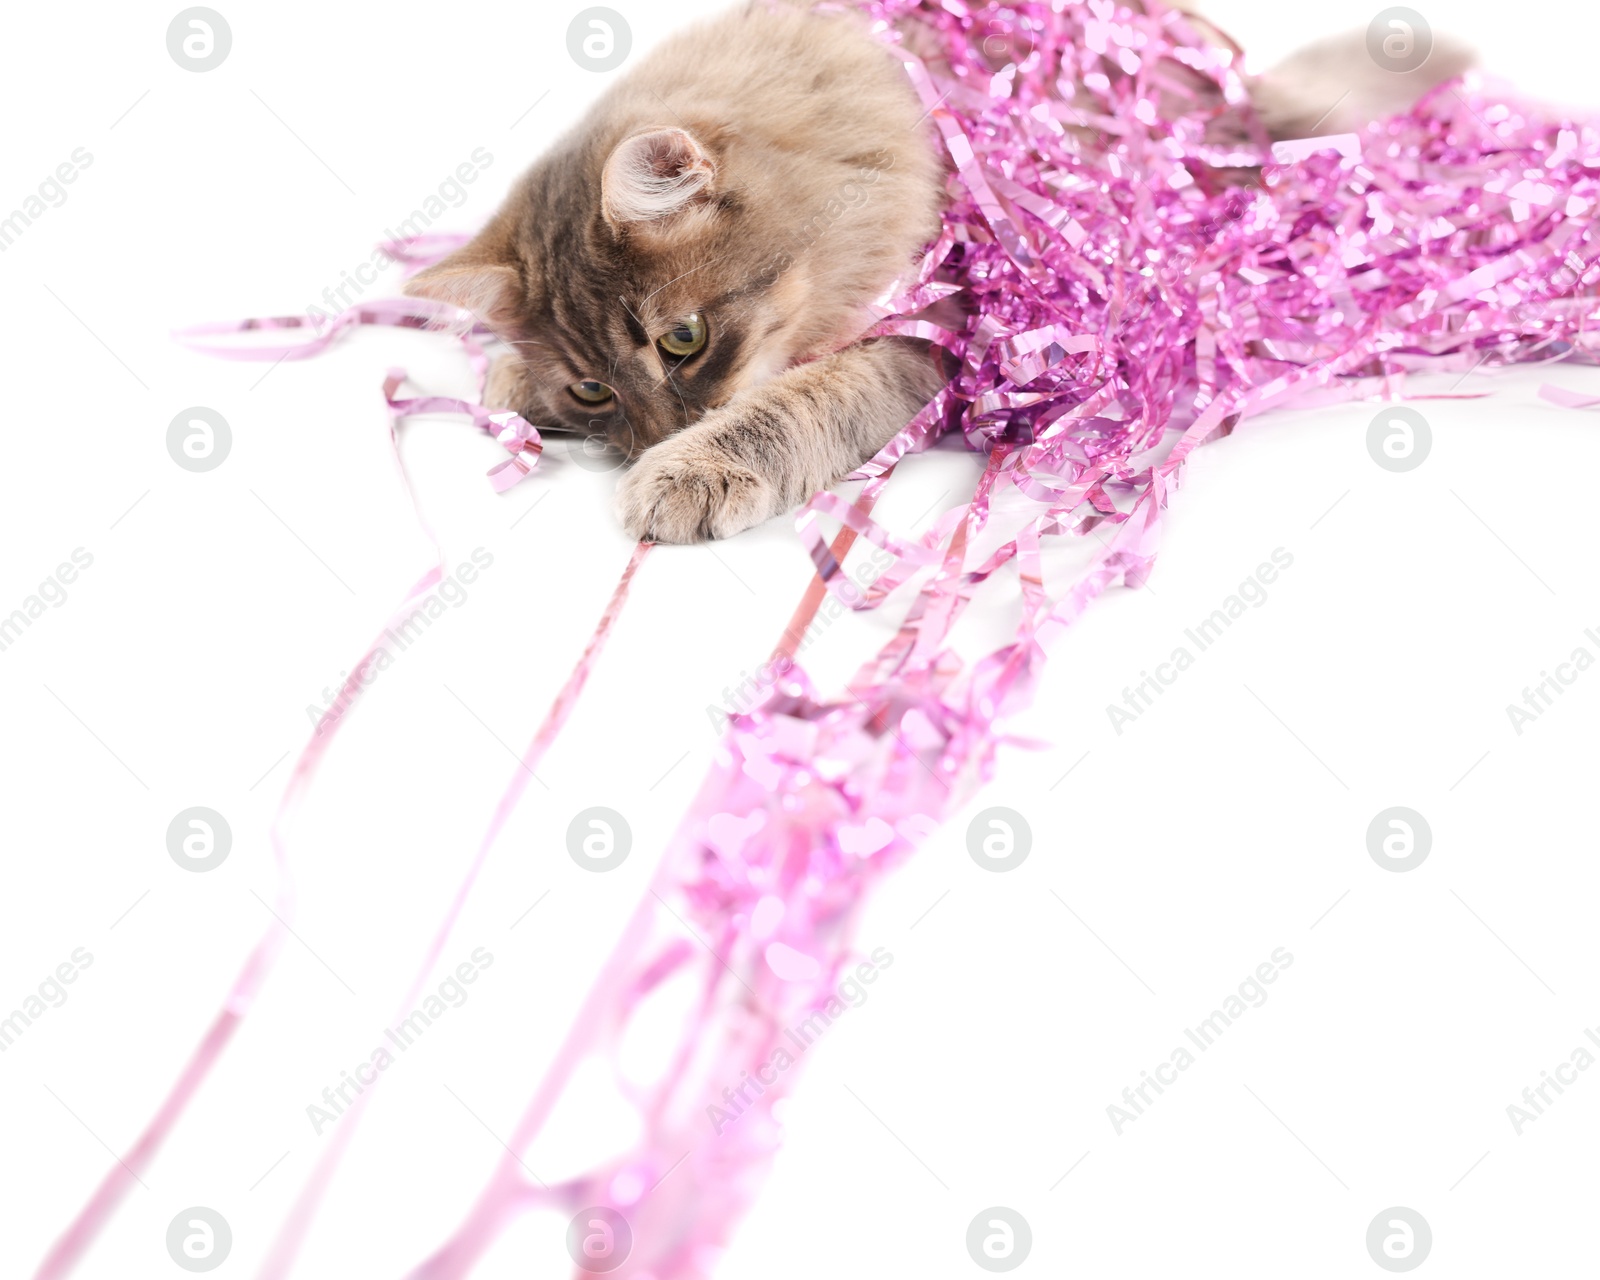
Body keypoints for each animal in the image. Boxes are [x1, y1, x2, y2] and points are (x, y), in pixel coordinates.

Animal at [406, 0, 1465, 544]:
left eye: (683, 339)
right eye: (591, 389)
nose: (663, 433)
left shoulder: (934, 329)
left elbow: (795, 404)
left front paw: (692, 470)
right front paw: (507, 379)